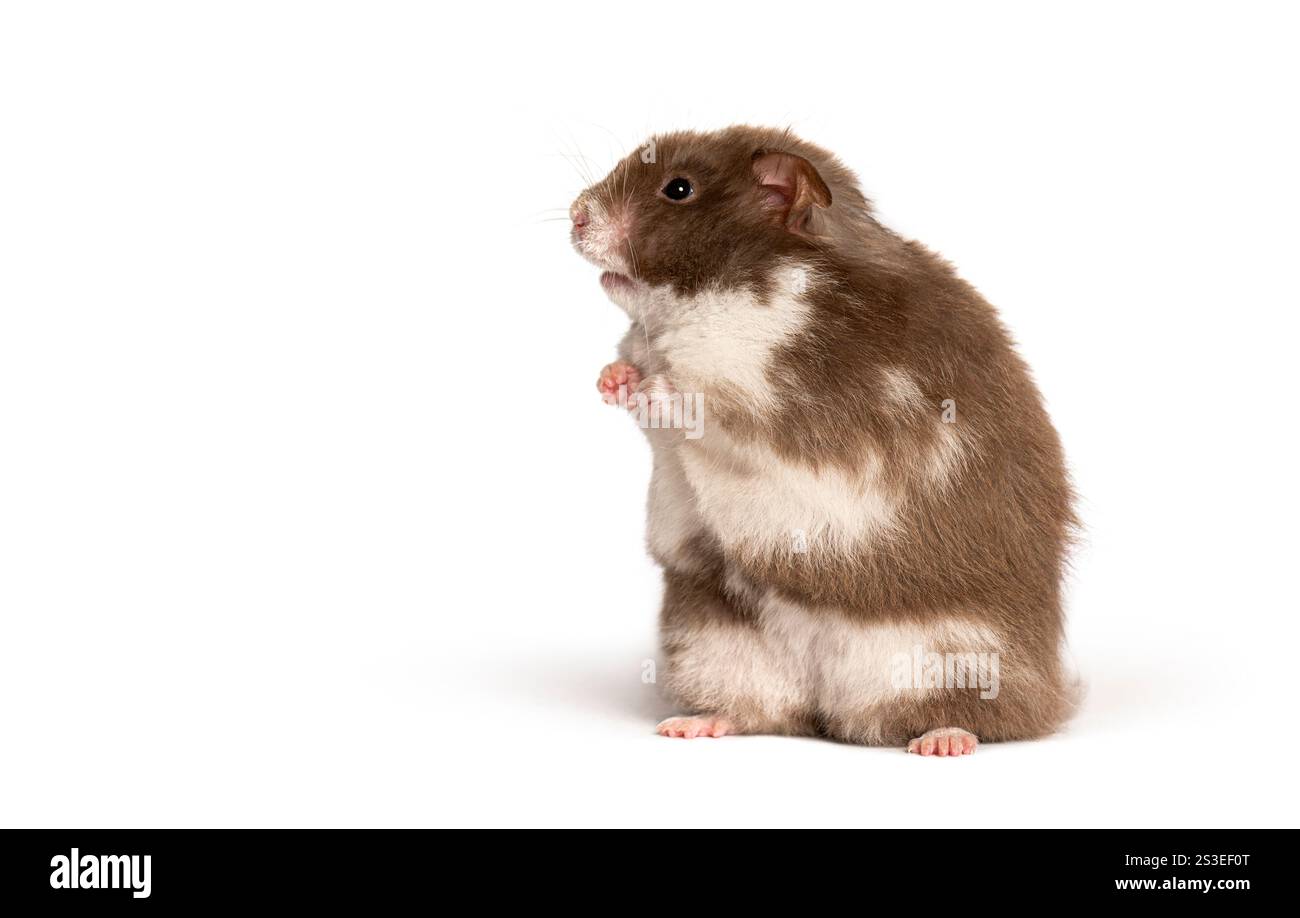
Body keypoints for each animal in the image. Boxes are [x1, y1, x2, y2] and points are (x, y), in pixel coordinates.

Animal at [570, 126, 1076, 755]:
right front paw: (611, 380)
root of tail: (828, 701)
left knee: (973, 716)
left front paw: (650, 386)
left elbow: (704, 400)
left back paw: (942, 741)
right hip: (713, 639)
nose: (574, 216)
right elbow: (635, 371)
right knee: (761, 710)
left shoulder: (774, 391)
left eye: (678, 189)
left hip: (958, 654)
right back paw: (691, 725)